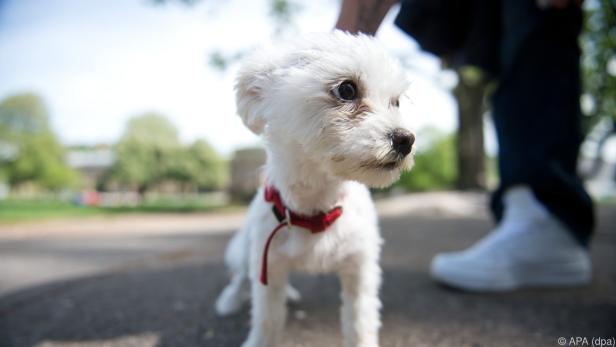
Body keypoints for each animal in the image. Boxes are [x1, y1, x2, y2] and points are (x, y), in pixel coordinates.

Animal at [215, 30, 414, 347]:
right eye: (347, 89)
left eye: (395, 102)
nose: (406, 139)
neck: (317, 205)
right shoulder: (268, 265)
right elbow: (266, 319)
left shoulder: (361, 269)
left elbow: (360, 321)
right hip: (249, 251)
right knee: (240, 278)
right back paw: (229, 300)